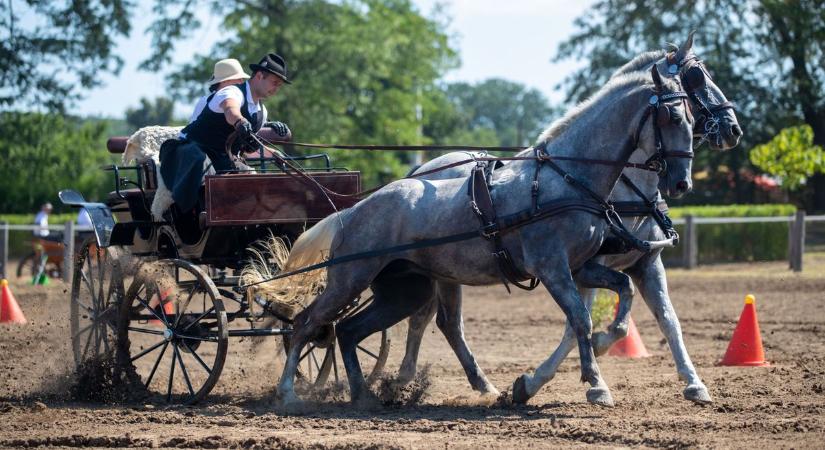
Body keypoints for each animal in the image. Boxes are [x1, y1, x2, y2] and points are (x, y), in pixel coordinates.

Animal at [266, 58, 696, 406]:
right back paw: (288, 392)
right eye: (674, 118)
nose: (682, 183)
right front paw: (595, 384)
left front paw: (610, 342)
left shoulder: (581, 266)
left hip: (403, 290)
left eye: (691, 117)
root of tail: (353, 210)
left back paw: (363, 395)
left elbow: (622, 292)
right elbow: (580, 318)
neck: (566, 179)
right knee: (308, 325)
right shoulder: (552, 267)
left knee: (349, 330)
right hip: (350, 279)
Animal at [392, 32, 740, 404]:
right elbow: (579, 324)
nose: (733, 129)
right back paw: (406, 378)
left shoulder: (645, 263)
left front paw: (694, 382)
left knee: (441, 321)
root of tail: (421, 170)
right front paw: (554, 377)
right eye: (697, 77)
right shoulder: (579, 266)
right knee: (430, 318)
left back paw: (448, 381)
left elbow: (667, 319)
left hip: (446, 269)